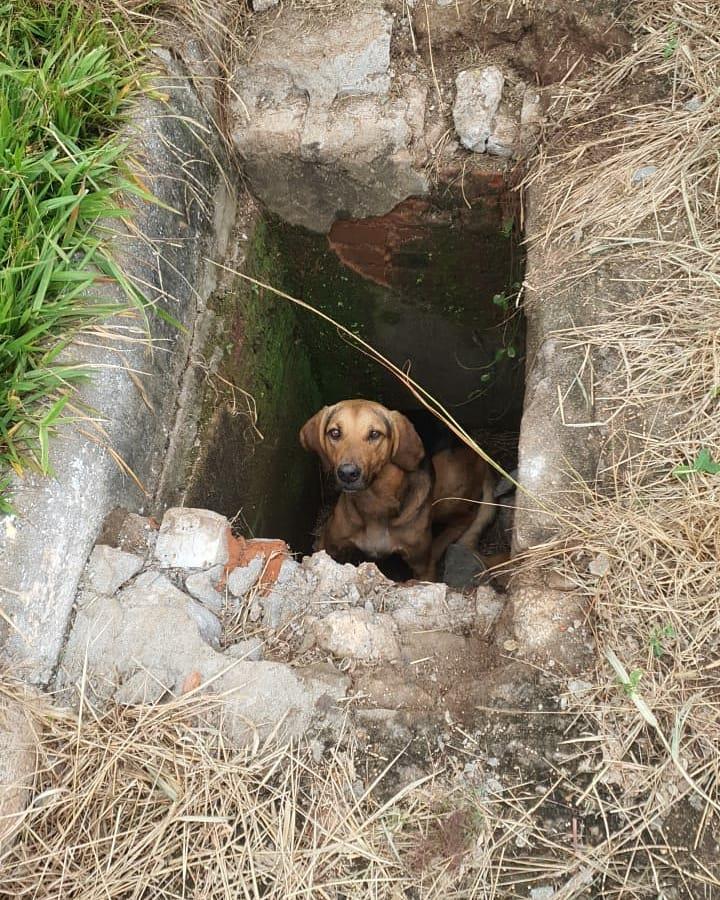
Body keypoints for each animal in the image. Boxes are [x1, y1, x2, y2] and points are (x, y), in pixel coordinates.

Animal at [298, 398, 496, 580]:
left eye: (374, 434)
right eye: (335, 433)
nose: (347, 473)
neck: (375, 502)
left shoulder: (422, 569)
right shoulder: (329, 547)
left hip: (446, 485)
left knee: (466, 517)